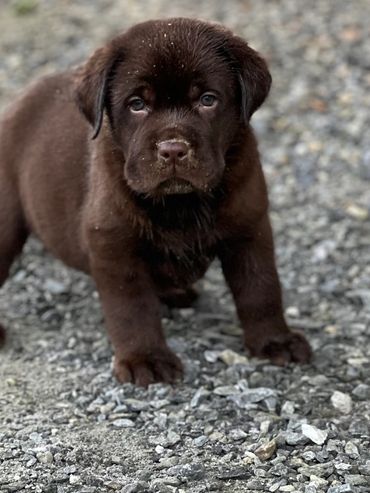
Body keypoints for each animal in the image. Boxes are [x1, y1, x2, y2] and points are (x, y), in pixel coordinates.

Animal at [0, 18, 310, 384]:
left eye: (207, 99)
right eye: (137, 104)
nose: (173, 149)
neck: (179, 203)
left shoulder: (250, 229)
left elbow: (261, 288)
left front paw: (275, 340)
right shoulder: (114, 247)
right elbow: (132, 308)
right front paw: (145, 358)